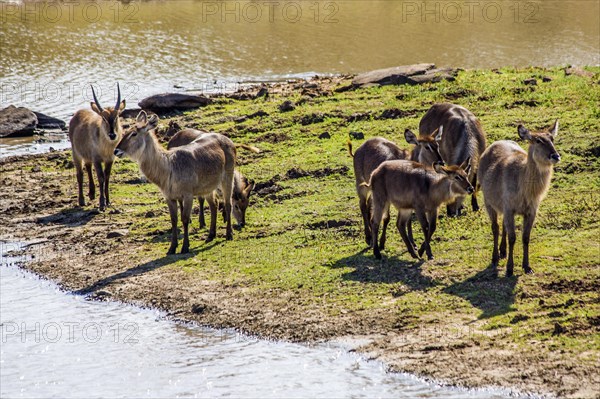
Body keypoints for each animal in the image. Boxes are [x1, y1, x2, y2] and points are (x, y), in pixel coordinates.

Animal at [68, 83, 124, 211]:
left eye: (117, 116)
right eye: (103, 118)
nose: (112, 135)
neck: (106, 146)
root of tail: (78, 113)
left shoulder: (110, 160)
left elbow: (107, 177)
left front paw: (108, 201)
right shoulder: (97, 159)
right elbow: (101, 177)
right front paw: (102, 203)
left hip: (87, 156)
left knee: (88, 167)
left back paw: (92, 194)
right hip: (76, 154)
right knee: (80, 174)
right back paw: (82, 200)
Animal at [113, 111, 236, 256]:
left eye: (134, 133)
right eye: (125, 131)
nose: (116, 151)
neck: (169, 168)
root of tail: (228, 140)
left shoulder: (188, 194)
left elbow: (185, 218)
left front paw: (185, 247)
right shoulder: (169, 197)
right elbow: (174, 220)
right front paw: (171, 248)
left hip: (228, 177)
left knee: (228, 204)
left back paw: (229, 234)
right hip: (208, 187)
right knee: (214, 205)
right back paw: (210, 235)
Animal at [478, 120, 564, 278]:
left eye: (552, 139)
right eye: (538, 140)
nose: (555, 156)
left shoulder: (530, 211)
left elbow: (525, 237)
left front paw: (527, 267)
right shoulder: (509, 208)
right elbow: (512, 238)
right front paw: (509, 269)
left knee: (503, 226)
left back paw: (503, 252)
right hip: (488, 203)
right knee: (495, 227)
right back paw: (495, 257)